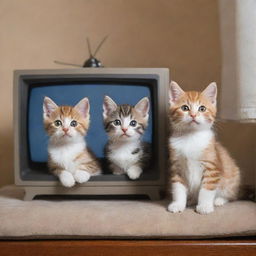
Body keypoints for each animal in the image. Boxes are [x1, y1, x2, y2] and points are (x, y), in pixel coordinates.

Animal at [168, 81, 240, 214]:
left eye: (202, 108)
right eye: (185, 108)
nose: (193, 115)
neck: (191, 137)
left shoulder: (212, 167)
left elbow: (206, 189)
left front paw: (205, 206)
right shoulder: (177, 167)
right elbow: (178, 188)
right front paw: (178, 204)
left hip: (232, 177)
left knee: (232, 195)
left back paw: (219, 200)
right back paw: (191, 200)